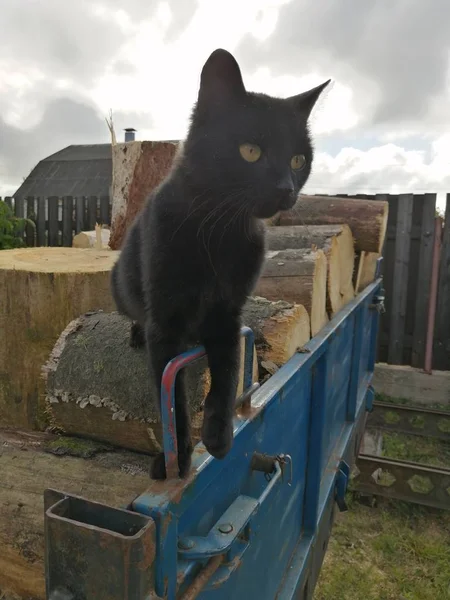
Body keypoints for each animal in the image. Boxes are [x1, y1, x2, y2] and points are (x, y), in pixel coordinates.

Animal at [110, 47, 328, 480]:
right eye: (250, 151)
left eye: (298, 159)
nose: (286, 187)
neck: (219, 233)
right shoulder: (167, 321)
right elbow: (171, 398)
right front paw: (176, 457)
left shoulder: (228, 314)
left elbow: (226, 376)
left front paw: (219, 435)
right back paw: (135, 333)